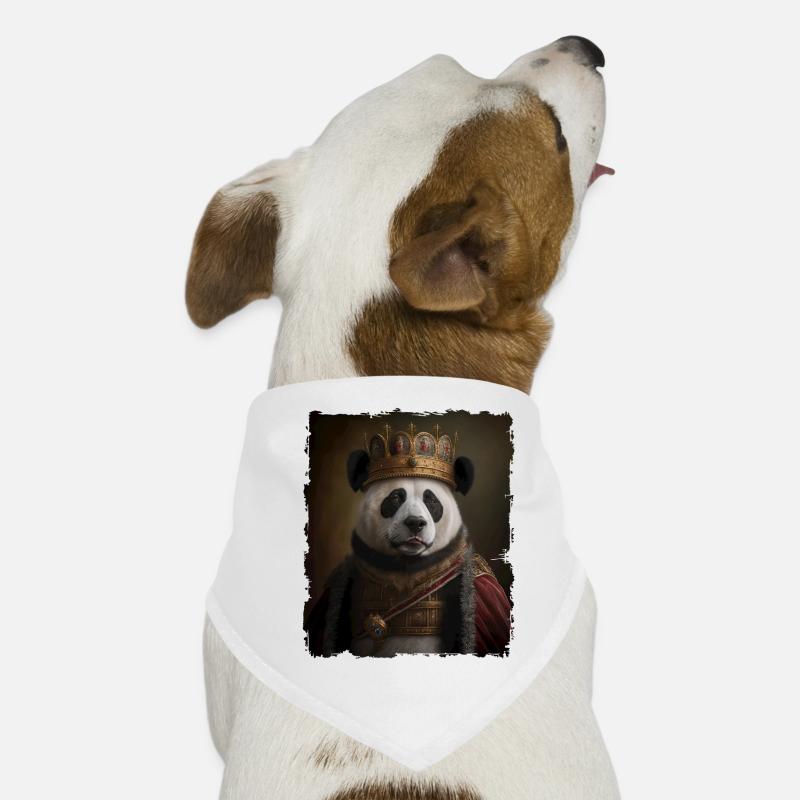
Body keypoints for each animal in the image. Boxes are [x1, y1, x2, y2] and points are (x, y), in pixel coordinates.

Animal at [306, 451, 511, 658]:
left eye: (431, 500)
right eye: (396, 497)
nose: (415, 523)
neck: (407, 568)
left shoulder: (482, 592)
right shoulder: (338, 589)